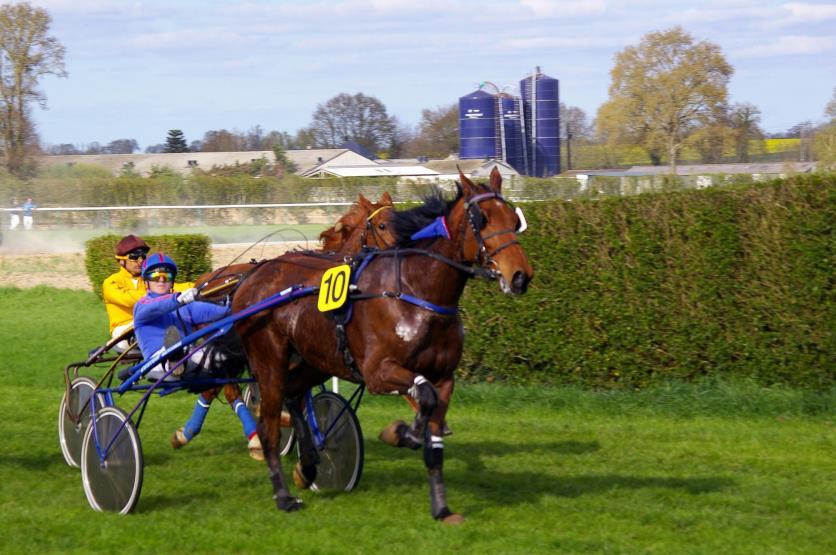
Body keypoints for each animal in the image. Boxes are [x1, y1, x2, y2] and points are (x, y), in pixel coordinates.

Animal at [232, 168, 532, 520]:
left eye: (513, 219)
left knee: (293, 392)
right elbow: (423, 396)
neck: (414, 291)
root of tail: (251, 277)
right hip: (270, 359)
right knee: (268, 427)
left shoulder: (444, 378)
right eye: (481, 219)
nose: (520, 276)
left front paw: (442, 508)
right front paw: (401, 433)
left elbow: (434, 435)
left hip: (317, 360)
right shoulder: (378, 371)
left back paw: (308, 466)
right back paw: (284, 496)